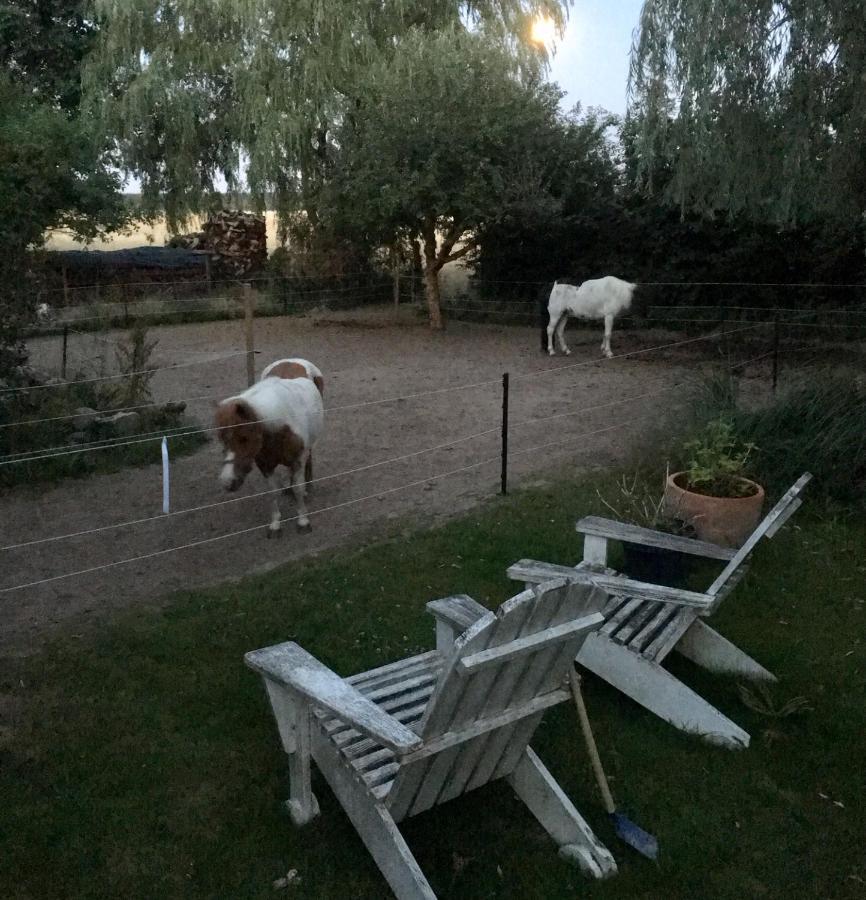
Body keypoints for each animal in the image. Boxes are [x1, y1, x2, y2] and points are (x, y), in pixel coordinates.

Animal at [215, 358, 324, 536]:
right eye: (222, 440)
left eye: (244, 438)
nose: (227, 482)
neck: (280, 426)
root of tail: (293, 360)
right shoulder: (265, 466)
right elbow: (272, 492)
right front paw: (275, 525)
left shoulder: (297, 461)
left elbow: (298, 488)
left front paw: (303, 521)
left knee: (308, 460)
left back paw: (308, 487)